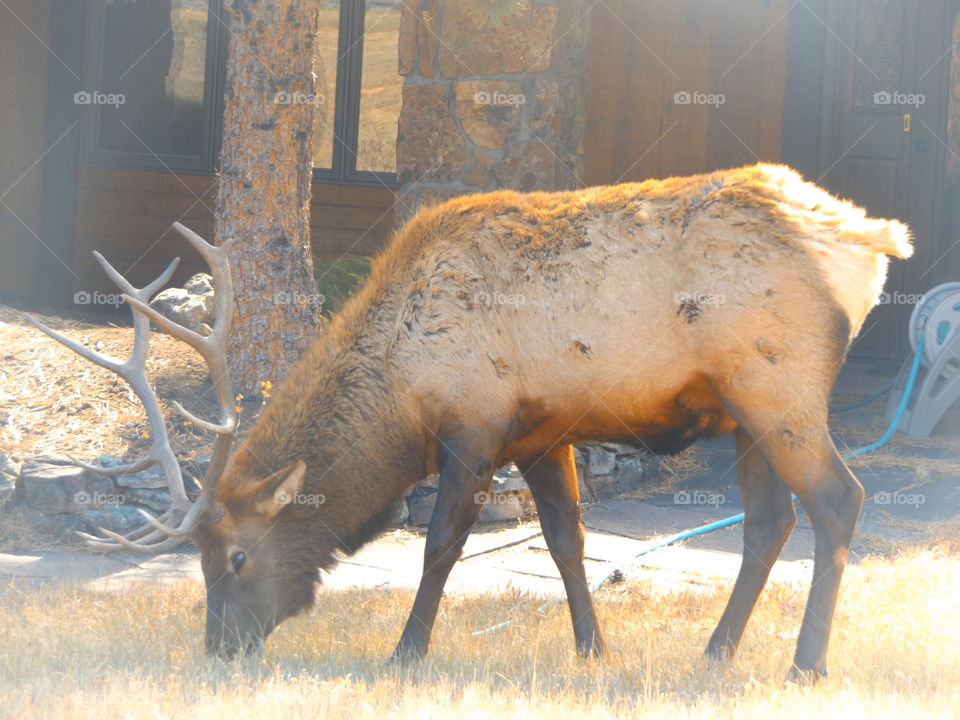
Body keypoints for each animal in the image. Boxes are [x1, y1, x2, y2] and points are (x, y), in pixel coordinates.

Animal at [31, 164, 912, 681]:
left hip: (778, 384)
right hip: (741, 411)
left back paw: (805, 666)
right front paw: (593, 650)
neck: (401, 395)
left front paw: (406, 653)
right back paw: (715, 654)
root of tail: (871, 237)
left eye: (237, 557)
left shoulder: (475, 428)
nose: (219, 649)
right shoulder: (544, 434)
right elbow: (567, 543)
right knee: (769, 522)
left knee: (839, 500)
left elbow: (440, 546)